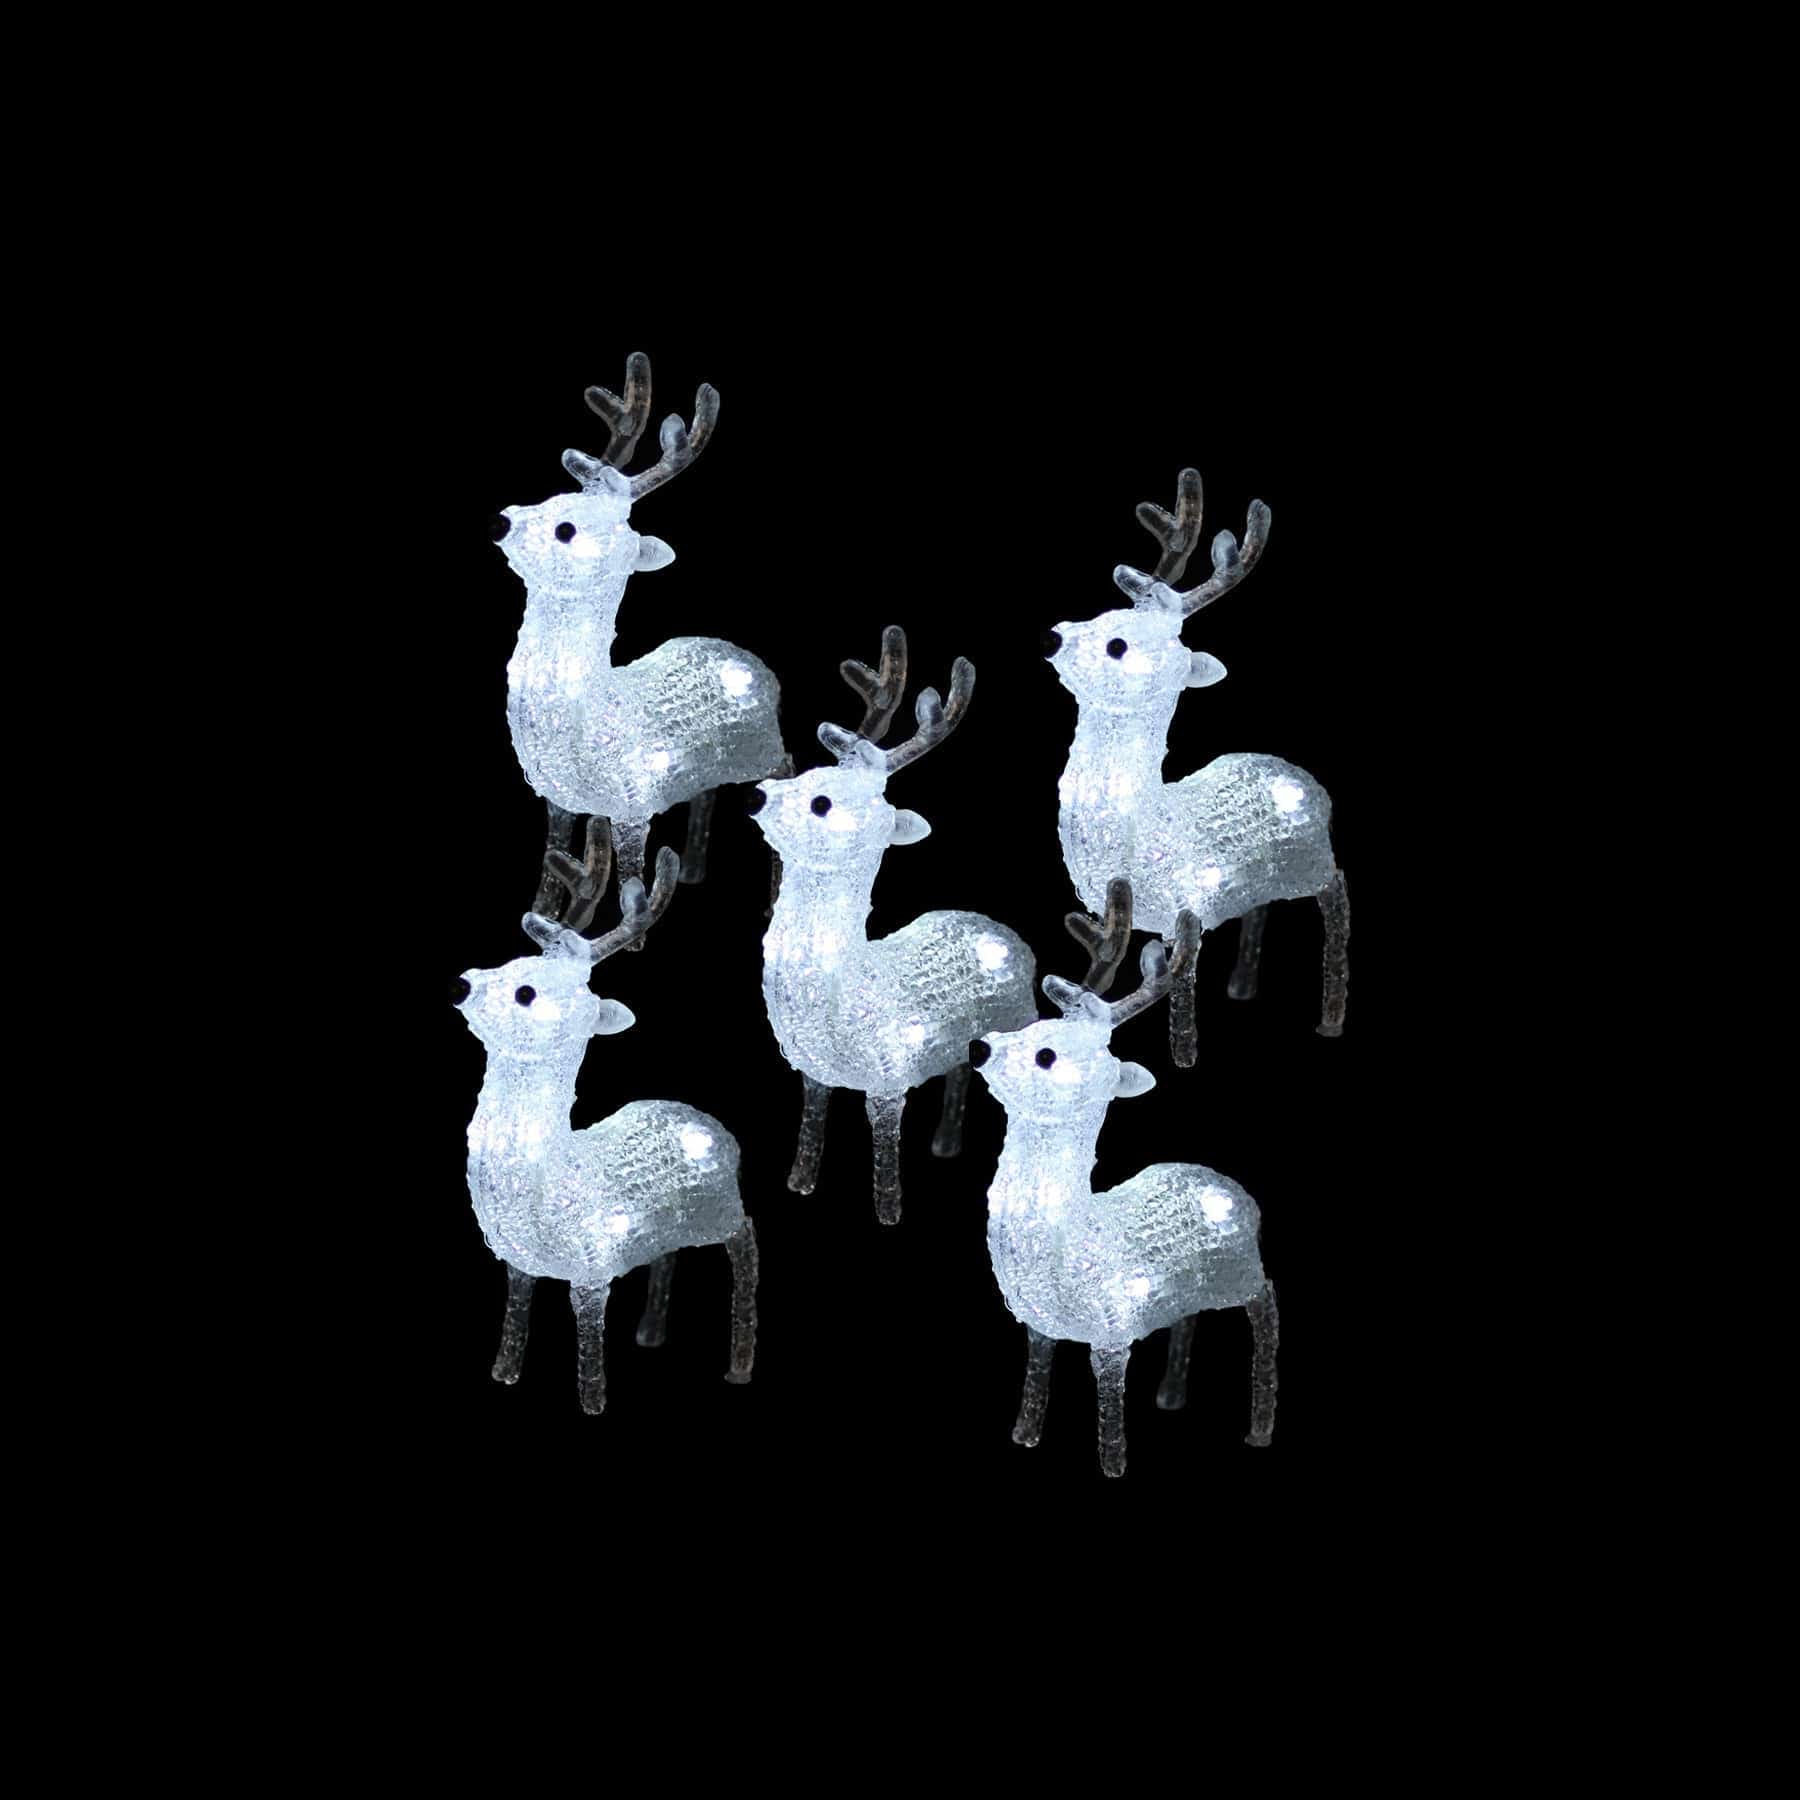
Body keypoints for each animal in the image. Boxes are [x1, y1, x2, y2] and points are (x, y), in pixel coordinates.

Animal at [451, 834, 758, 1413]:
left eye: (527, 994)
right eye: (509, 962)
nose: (462, 984)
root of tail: (716, 1128)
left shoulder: (592, 1263)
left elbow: (589, 1335)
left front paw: (593, 1400)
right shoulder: (519, 1260)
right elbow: (516, 1307)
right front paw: (503, 1374)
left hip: (723, 1209)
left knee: (746, 1248)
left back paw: (739, 1365)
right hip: (671, 1225)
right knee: (667, 1258)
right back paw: (651, 1333)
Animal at [491, 352, 792, 942]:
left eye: (566, 529)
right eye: (549, 499)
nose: (503, 519)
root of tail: (757, 667)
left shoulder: (633, 799)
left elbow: (630, 871)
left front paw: (633, 938)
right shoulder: (556, 799)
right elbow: (552, 863)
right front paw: (540, 917)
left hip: (762, 747)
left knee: (786, 770)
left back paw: (770, 904)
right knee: (704, 792)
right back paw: (694, 871)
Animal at [747, 630, 1038, 1224]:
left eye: (821, 803)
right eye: (808, 776)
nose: (760, 793)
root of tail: (1000, 930)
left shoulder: (889, 1072)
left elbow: (883, 1142)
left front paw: (888, 1211)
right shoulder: (813, 1069)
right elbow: (812, 1117)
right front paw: (799, 1184)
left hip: (1016, 1015)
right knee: (957, 1071)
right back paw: (945, 1144)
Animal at [971, 881, 1278, 1477]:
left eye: (1047, 1055)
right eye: (1032, 1026)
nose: (980, 1045)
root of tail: (1233, 1188)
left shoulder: (1112, 1326)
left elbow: (1108, 1396)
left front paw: (1113, 1462)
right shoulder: (1040, 1322)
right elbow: (1037, 1370)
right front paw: (1024, 1436)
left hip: (1243, 1272)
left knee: (1267, 1310)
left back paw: (1259, 1428)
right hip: (1191, 1288)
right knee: (1187, 1321)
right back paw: (1171, 1396)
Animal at [1043, 468, 1349, 1061]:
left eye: (1118, 645)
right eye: (1100, 615)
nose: (1055, 634)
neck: (1145, 819)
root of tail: (1306, 781)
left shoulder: (1188, 909)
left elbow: (1178, 986)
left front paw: (1183, 1057)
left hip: (1314, 861)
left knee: (1337, 900)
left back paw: (1330, 1018)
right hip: (1262, 877)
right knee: (1258, 910)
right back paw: (1242, 988)